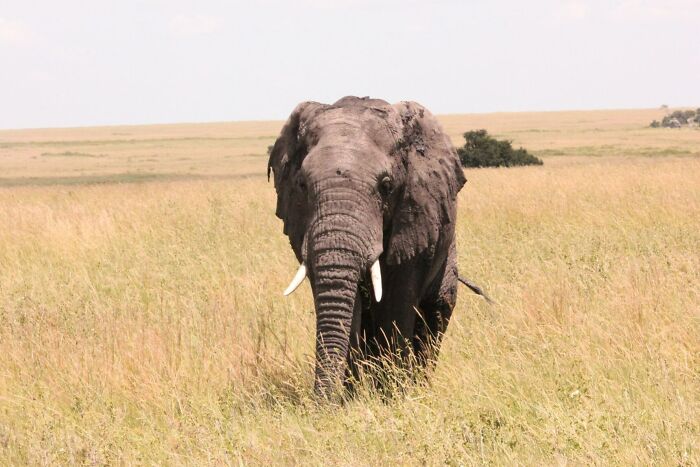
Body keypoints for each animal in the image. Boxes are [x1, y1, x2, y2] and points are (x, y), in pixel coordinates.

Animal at [270, 96, 468, 398]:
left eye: (386, 185)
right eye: (302, 184)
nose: (318, 403)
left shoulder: (414, 217)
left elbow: (396, 304)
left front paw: (393, 395)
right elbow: (348, 307)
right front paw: (351, 398)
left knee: (436, 313)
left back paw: (419, 384)